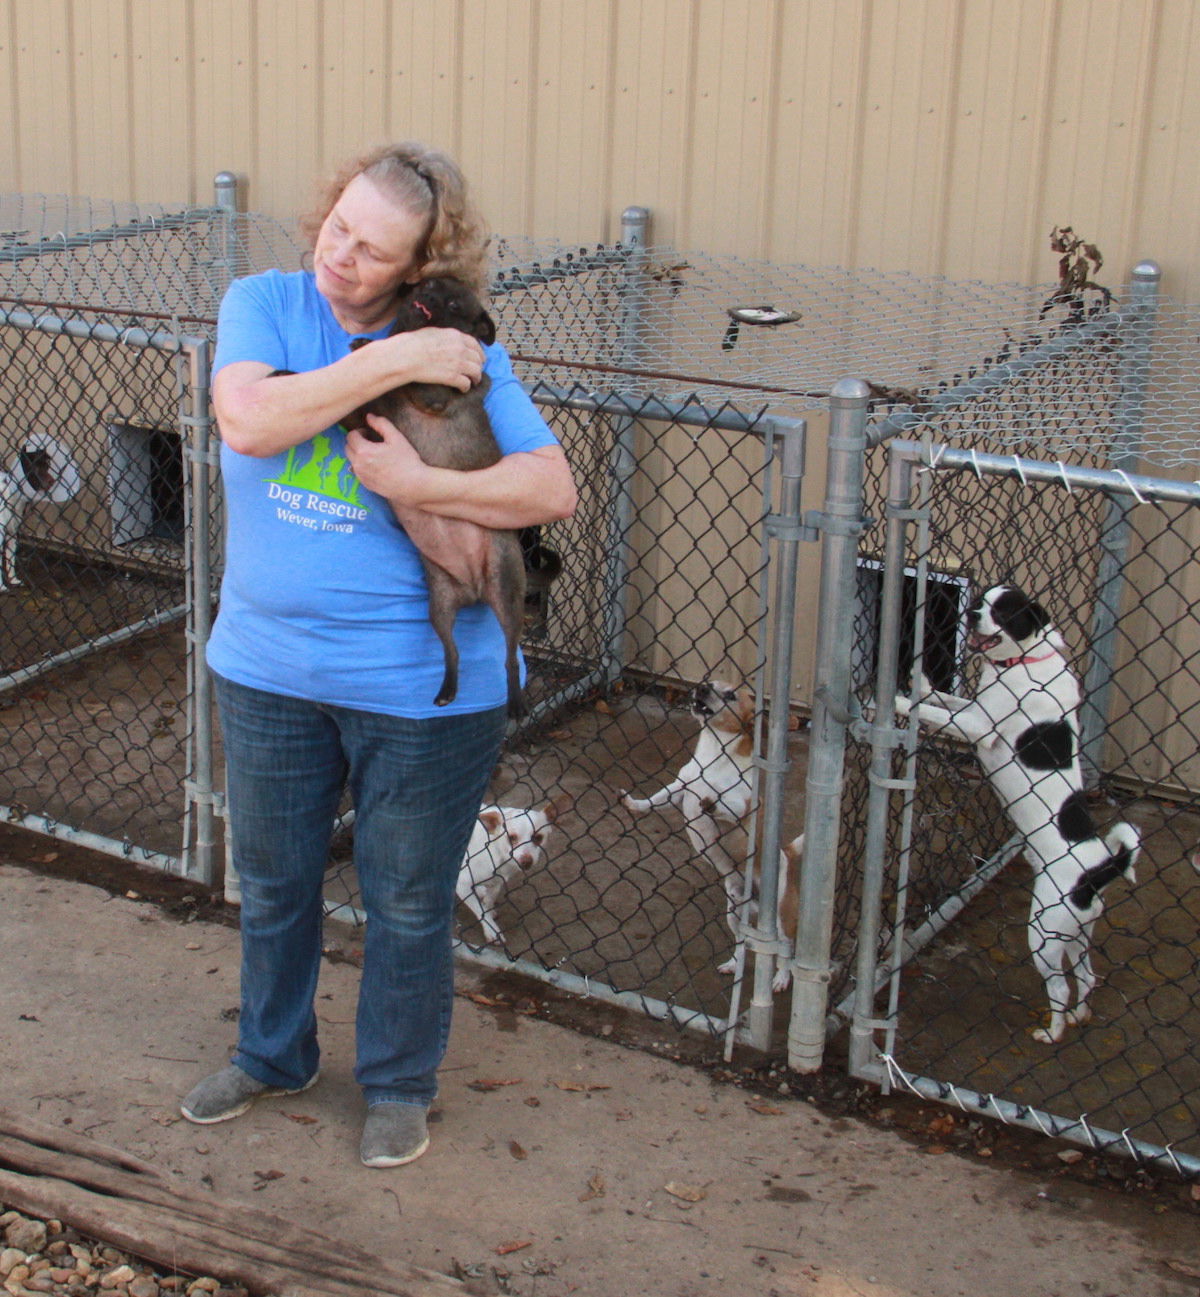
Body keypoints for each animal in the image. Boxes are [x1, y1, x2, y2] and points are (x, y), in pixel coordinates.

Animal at [459, 788, 570, 944]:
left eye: (538, 838)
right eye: (511, 838)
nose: (526, 860)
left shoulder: (497, 882)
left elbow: (489, 901)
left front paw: (489, 908)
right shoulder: (461, 884)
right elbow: (480, 911)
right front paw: (492, 930)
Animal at [892, 588, 1136, 1042]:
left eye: (1003, 611)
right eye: (981, 600)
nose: (971, 614)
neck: (1023, 662)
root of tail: (1098, 872)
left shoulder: (979, 728)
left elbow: (939, 713)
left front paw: (900, 701)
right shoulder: (975, 707)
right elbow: (947, 699)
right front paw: (923, 683)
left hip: (1044, 933)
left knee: (1059, 986)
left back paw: (1053, 1032)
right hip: (1075, 933)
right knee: (1087, 976)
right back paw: (1080, 1016)